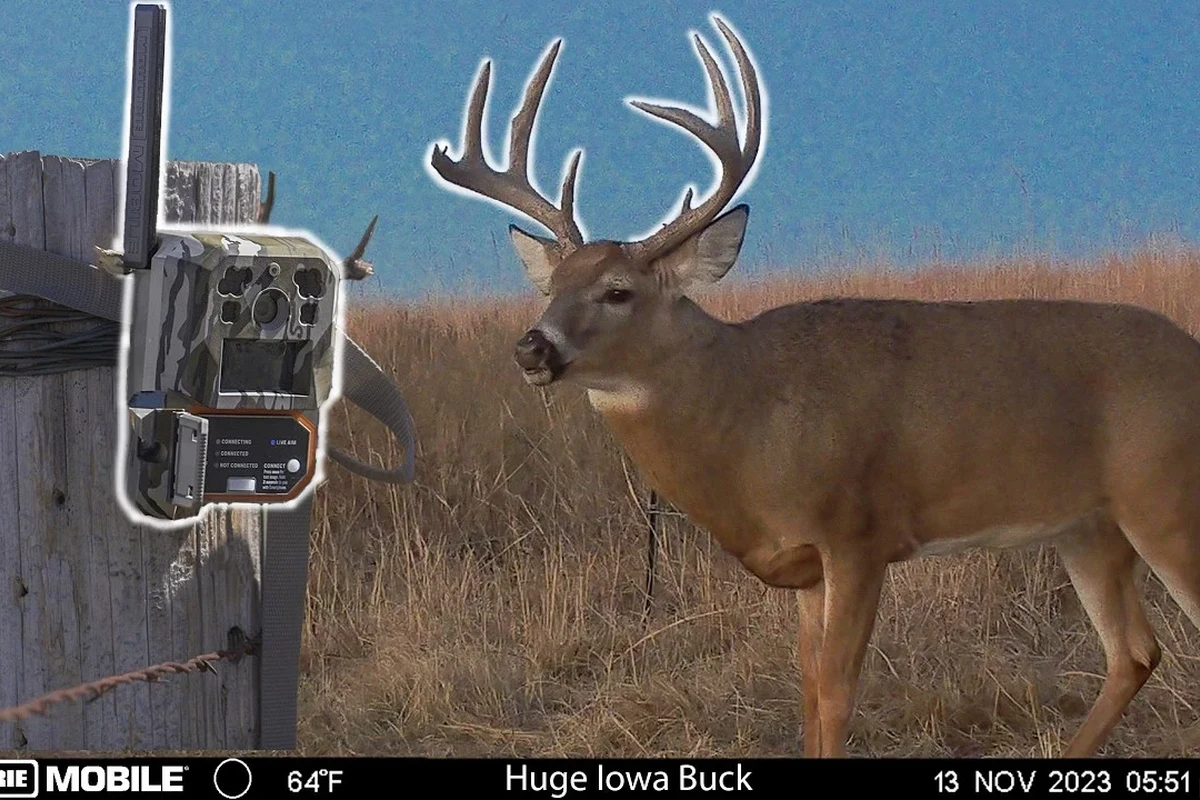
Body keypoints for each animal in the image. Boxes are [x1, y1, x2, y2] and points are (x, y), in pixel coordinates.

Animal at [426, 13, 1200, 758]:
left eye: (618, 291)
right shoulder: (806, 564)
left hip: (1163, 498)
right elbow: (804, 687)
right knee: (1135, 651)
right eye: (551, 286)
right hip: (1088, 526)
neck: (751, 414)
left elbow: (834, 690)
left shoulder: (858, 531)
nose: (531, 346)